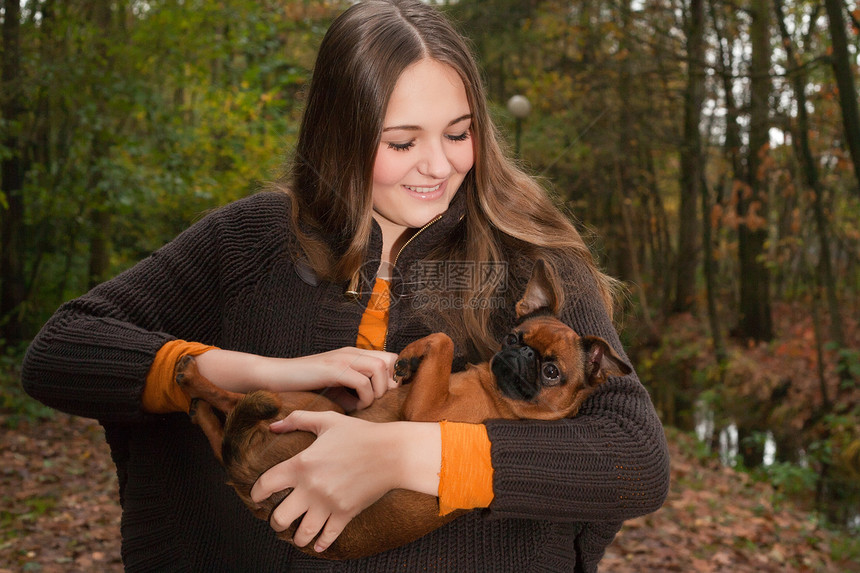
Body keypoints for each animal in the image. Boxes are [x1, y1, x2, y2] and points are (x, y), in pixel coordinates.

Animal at [175, 260, 632, 560]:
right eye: (512, 337)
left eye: (552, 372)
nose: (521, 356)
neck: (495, 395)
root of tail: (249, 478)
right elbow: (436, 344)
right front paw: (409, 360)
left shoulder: (424, 418)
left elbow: (445, 339)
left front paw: (413, 356)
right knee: (223, 429)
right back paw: (197, 407)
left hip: (302, 406)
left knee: (233, 403)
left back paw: (191, 375)